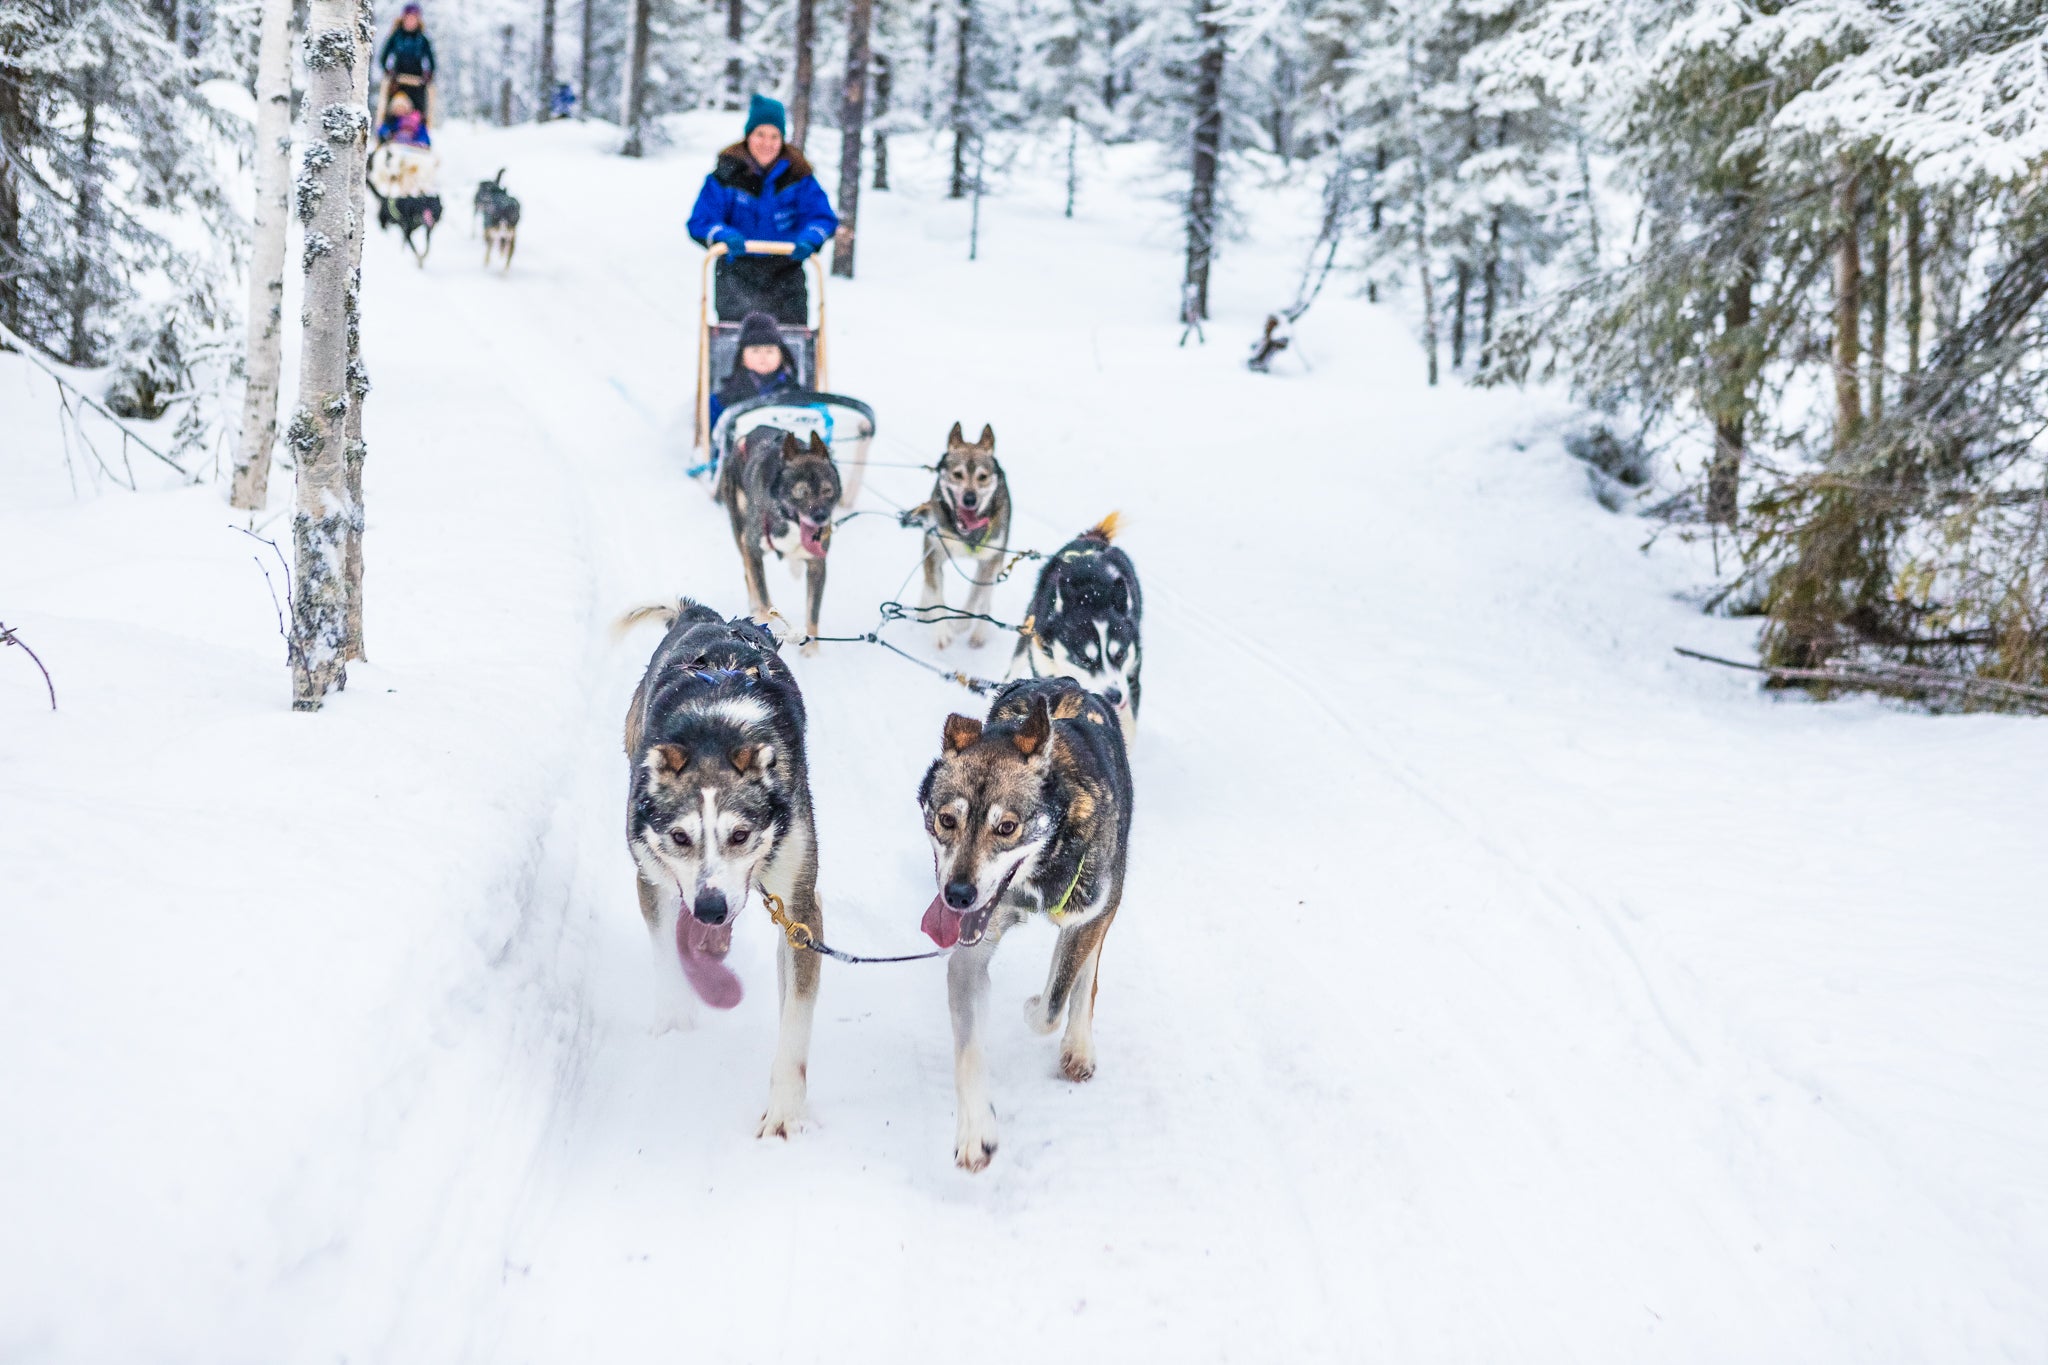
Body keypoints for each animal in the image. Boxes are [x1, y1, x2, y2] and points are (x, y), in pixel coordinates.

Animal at [614, 597, 823, 1146]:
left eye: (740, 835)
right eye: (680, 837)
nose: (711, 908)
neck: (714, 734)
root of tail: (703, 612)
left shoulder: (800, 908)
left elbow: (795, 1020)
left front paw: (785, 1111)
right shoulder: (651, 878)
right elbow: (666, 950)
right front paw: (673, 1014)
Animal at [724, 429, 843, 658]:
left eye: (827, 491)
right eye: (801, 492)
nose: (821, 517)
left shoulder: (817, 564)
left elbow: (812, 612)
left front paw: (811, 651)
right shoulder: (752, 549)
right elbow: (762, 594)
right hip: (740, 533)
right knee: (749, 577)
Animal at [905, 423, 1015, 654]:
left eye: (982, 477)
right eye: (957, 474)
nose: (970, 499)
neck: (965, 535)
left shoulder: (988, 561)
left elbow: (976, 595)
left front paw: (963, 623)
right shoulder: (934, 552)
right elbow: (935, 590)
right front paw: (941, 631)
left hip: (997, 561)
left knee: (986, 597)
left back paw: (979, 631)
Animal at [917, 679, 1138, 1170]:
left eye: (1007, 827)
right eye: (946, 819)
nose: (958, 895)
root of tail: (1067, 684)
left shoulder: (1089, 913)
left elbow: (1054, 1002)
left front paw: (1036, 1007)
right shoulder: (971, 951)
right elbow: (969, 1051)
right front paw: (976, 1130)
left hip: (1105, 901)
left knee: (1084, 976)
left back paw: (1078, 1043)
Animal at [1011, 515, 1146, 749]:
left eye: (1120, 655)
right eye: (1083, 659)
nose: (1114, 696)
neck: (1091, 596)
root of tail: (1091, 539)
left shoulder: (1130, 679)